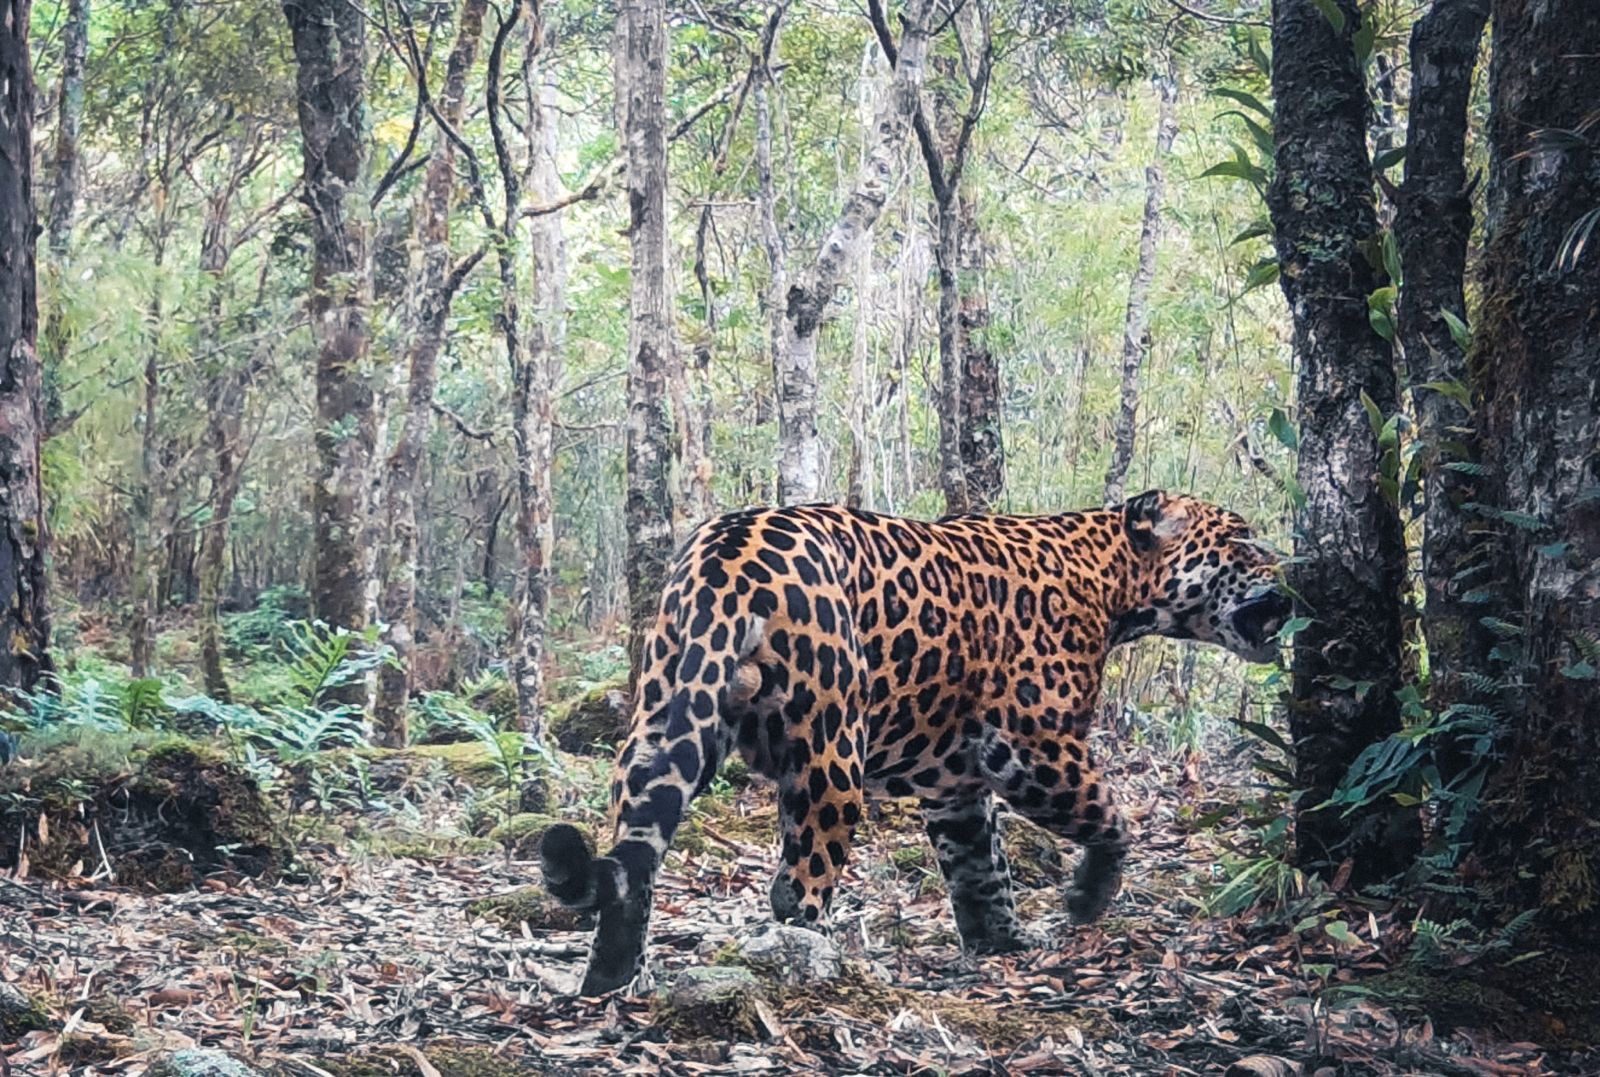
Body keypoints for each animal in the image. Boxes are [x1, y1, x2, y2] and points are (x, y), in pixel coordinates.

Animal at [540, 489, 1289, 995]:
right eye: (1243, 539)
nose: (1291, 571)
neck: (1111, 583)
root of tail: (728, 551)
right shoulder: (1035, 745)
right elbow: (1110, 815)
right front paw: (1088, 897)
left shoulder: (958, 783)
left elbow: (981, 867)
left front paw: (1001, 942)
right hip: (832, 753)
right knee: (798, 883)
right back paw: (807, 963)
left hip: (667, 711)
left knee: (636, 849)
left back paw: (611, 976)